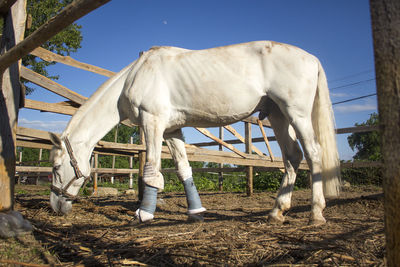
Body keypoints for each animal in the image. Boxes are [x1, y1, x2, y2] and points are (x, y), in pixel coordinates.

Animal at [47, 41, 340, 226]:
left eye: (56, 167)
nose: (55, 207)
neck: (135, 75)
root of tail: (312, 59)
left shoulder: (152, 123)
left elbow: (151, 169)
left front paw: (143, 214)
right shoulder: (172, 130)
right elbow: (183, 169)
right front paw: (196, 212)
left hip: (297, 114)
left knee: (313, 154)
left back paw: (316, 214)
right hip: (278, 116)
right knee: (292, 157)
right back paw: (277, 212)